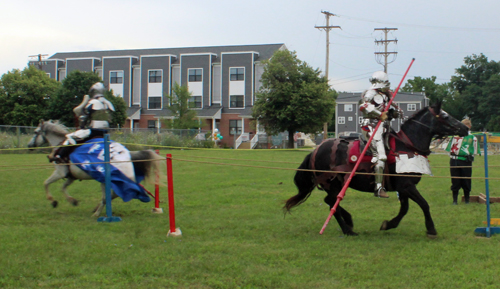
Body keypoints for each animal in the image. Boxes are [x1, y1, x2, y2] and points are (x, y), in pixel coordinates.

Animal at [286, 102, 468, 236]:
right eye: (445, 116)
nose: (465, 128)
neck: (406, 146)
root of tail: (315, 151)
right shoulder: (407, 186)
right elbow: (424, 204)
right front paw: (431, 229)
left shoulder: (403, 188)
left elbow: (404, 209)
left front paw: (389, 224)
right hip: (333, 184)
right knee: (331, 202)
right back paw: (347, 229)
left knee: (331, 201)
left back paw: (349, 221)